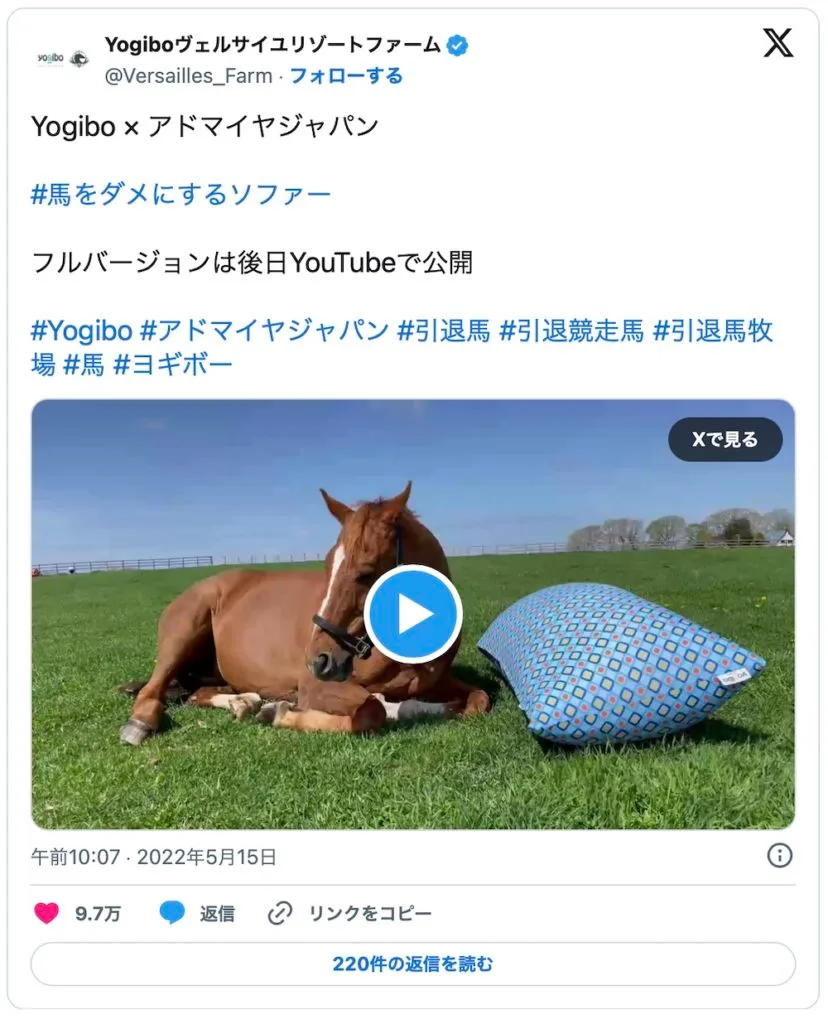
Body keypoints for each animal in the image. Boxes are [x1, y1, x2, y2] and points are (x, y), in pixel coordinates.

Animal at [119, 482, 490, 745]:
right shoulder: (315, 685)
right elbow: (372, 710)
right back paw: (141, 723)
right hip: (183, 633)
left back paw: (245, 702)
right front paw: (282, 714)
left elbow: (477, 700)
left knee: (199, 693)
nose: (319, 660)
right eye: (327, 566)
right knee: (152, 691)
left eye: (367, 572)